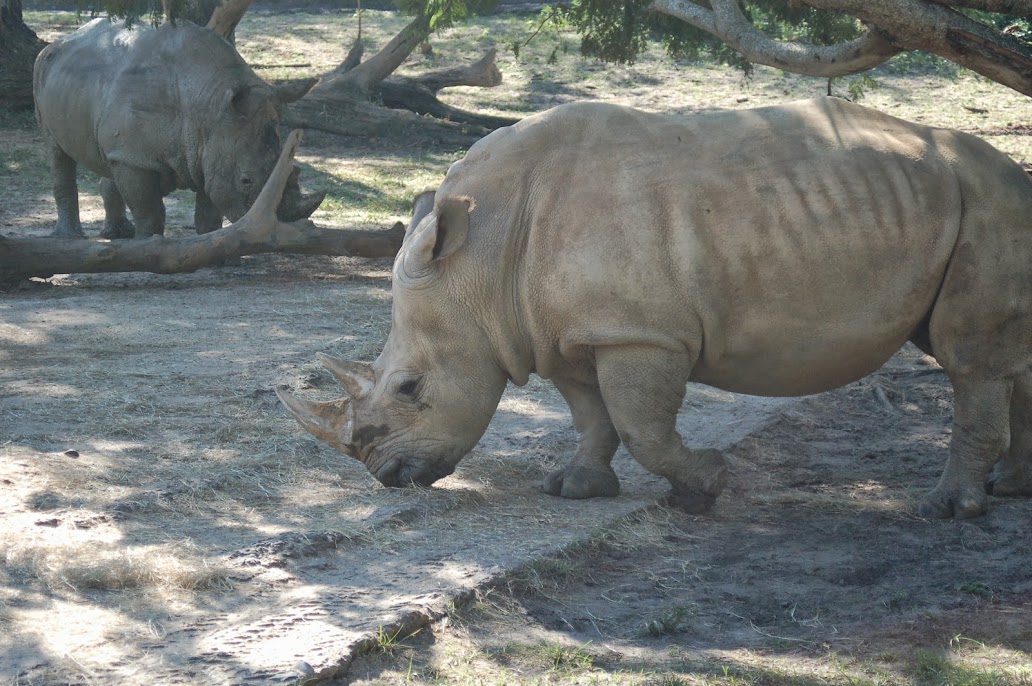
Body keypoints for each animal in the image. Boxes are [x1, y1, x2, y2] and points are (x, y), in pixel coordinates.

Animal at [33, 18, 324, 239]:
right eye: (246, 180)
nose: (281, 227)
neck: (208, 107)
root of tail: (62, 40)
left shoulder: (211, 149)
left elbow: (209, 208)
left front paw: (214, 249)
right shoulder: (140, 159)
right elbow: (149, 211)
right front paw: (146, 246)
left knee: (109, 159)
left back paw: (117, 235)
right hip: (42, 69)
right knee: (57, 152)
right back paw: (70, 237)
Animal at [278, 98, 1032, 520]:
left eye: (411, 388)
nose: (387, 476)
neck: (481, 262)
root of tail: (1013, 172)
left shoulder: (639, 333)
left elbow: (643, 425)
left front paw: (706, 487)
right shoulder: (566, 331)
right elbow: (591, 415)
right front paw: (575, 489)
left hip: (987, 200)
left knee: (969, 359)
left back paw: (947, 510)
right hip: (965, 203)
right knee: (1002, 357)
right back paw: (1009, 490)